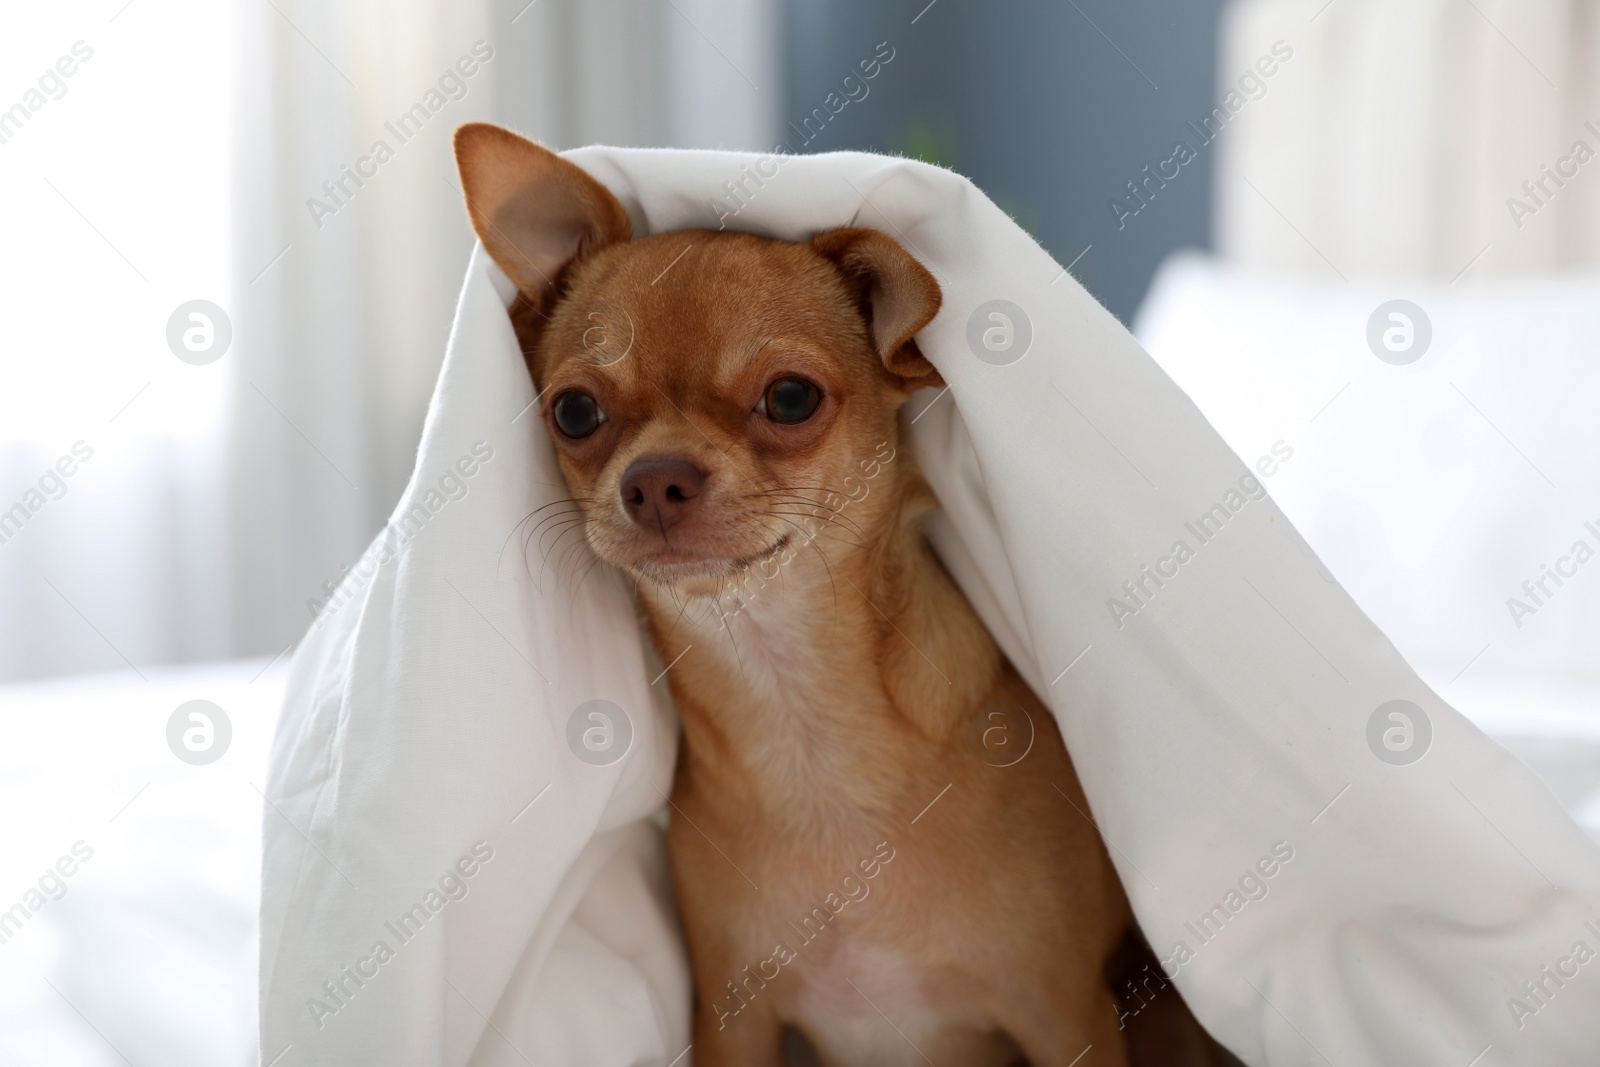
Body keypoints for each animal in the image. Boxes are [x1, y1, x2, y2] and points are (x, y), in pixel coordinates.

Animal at [457, 125, 1228, 1067]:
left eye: (790, 397)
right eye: (573, 412)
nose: (653, 480)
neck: (801, 720)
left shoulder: (1066, 1016)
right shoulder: (735, 1021)